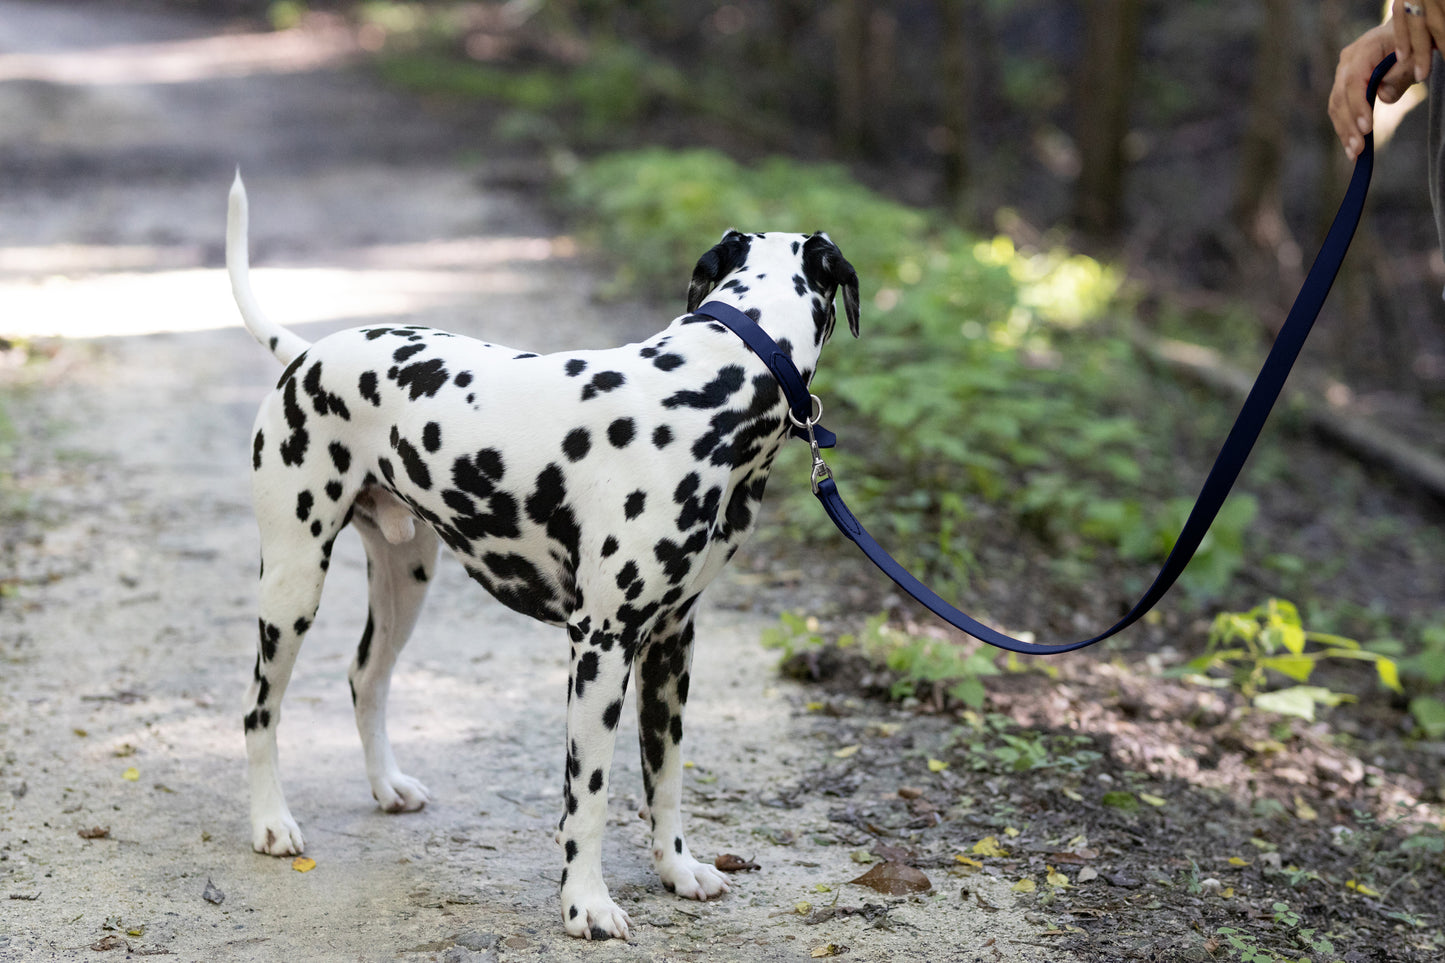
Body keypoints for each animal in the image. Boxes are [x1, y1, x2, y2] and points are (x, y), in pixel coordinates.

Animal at [225, 174, 855, 936]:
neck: (711, 384)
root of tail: (308, 352)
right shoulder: (602, 643)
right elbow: (589, 794)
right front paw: (586, 903)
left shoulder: (671, 642)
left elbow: (665, 778)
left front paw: (677, 869)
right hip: (292, 585)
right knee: (259, 708)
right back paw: (271, 821)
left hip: (406, 581)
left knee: (364, 678)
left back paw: (386, 785)